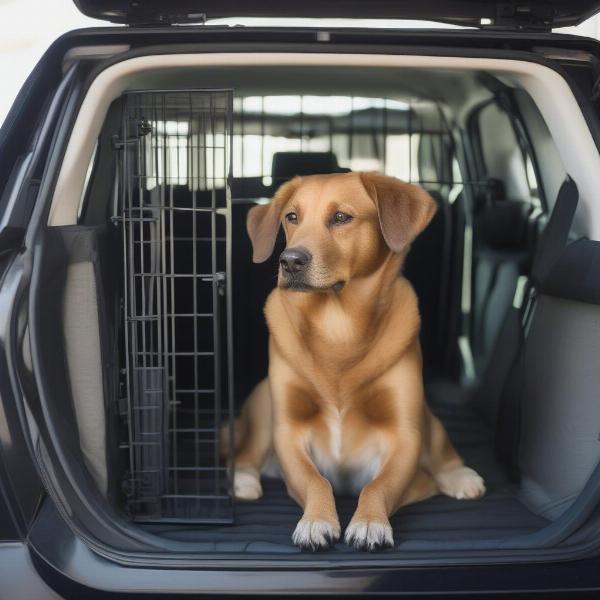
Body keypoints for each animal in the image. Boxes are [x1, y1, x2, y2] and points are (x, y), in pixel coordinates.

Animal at [227, 171, 486, 552]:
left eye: (341, 218)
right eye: (292, 217)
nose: (290, 260)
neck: (338, 327)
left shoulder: (405, 432)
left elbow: (377, 484)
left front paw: (368, 522)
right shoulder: (288, 430)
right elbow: (316, 480)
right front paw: (317, 520)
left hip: (428, 419)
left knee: (441, 449)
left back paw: (459, 476)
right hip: (262, 409)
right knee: (244, 455)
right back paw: (244, 482)